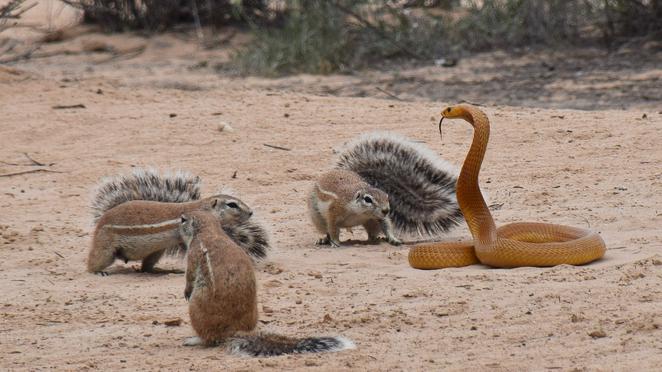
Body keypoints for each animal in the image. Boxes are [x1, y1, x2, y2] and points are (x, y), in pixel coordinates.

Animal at [88, 168, 270, 274]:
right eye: (232, 204)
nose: (251, 212)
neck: (203, 209)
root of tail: (104, 216)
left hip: (156, 251)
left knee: (145, 267)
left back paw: (160, 270)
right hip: (106, 248)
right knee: (93, 262)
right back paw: (97, 271)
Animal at [179, 211, 356, 356]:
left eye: (183, 219)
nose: (177, 221)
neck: (210, 230)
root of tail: (234, 331)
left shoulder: (193, 253)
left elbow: (190, 275)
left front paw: (186, 291)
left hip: (195, 308)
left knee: (209, 339)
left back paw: (194, 340)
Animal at [310, 133, 462, 247]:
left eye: (387, 196)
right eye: (367, 199)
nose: (386, 210)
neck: (358, 212)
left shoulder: (377, 216)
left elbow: (386, 224)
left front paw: (393, 238)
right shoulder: (334, 211)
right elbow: (332, 228)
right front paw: (335, 242)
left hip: (370, 222)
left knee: (372, 233)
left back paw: (377, 239)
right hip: (317, 217)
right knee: (325, 229)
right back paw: (324, 239)